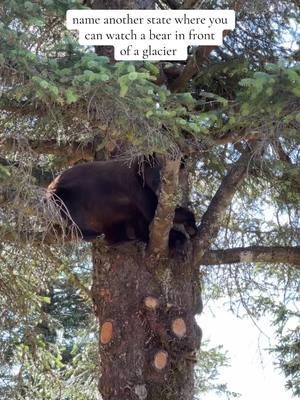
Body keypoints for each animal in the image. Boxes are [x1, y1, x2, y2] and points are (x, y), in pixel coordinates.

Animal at [47, 159, 197, 247]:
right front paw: (189, 224)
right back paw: (91, 233)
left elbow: (146, 217)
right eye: (157, 179)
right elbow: (152, 211)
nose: (161, 192)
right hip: (67, 195)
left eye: (171, 180)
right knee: (73, 215)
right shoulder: (135, 186)